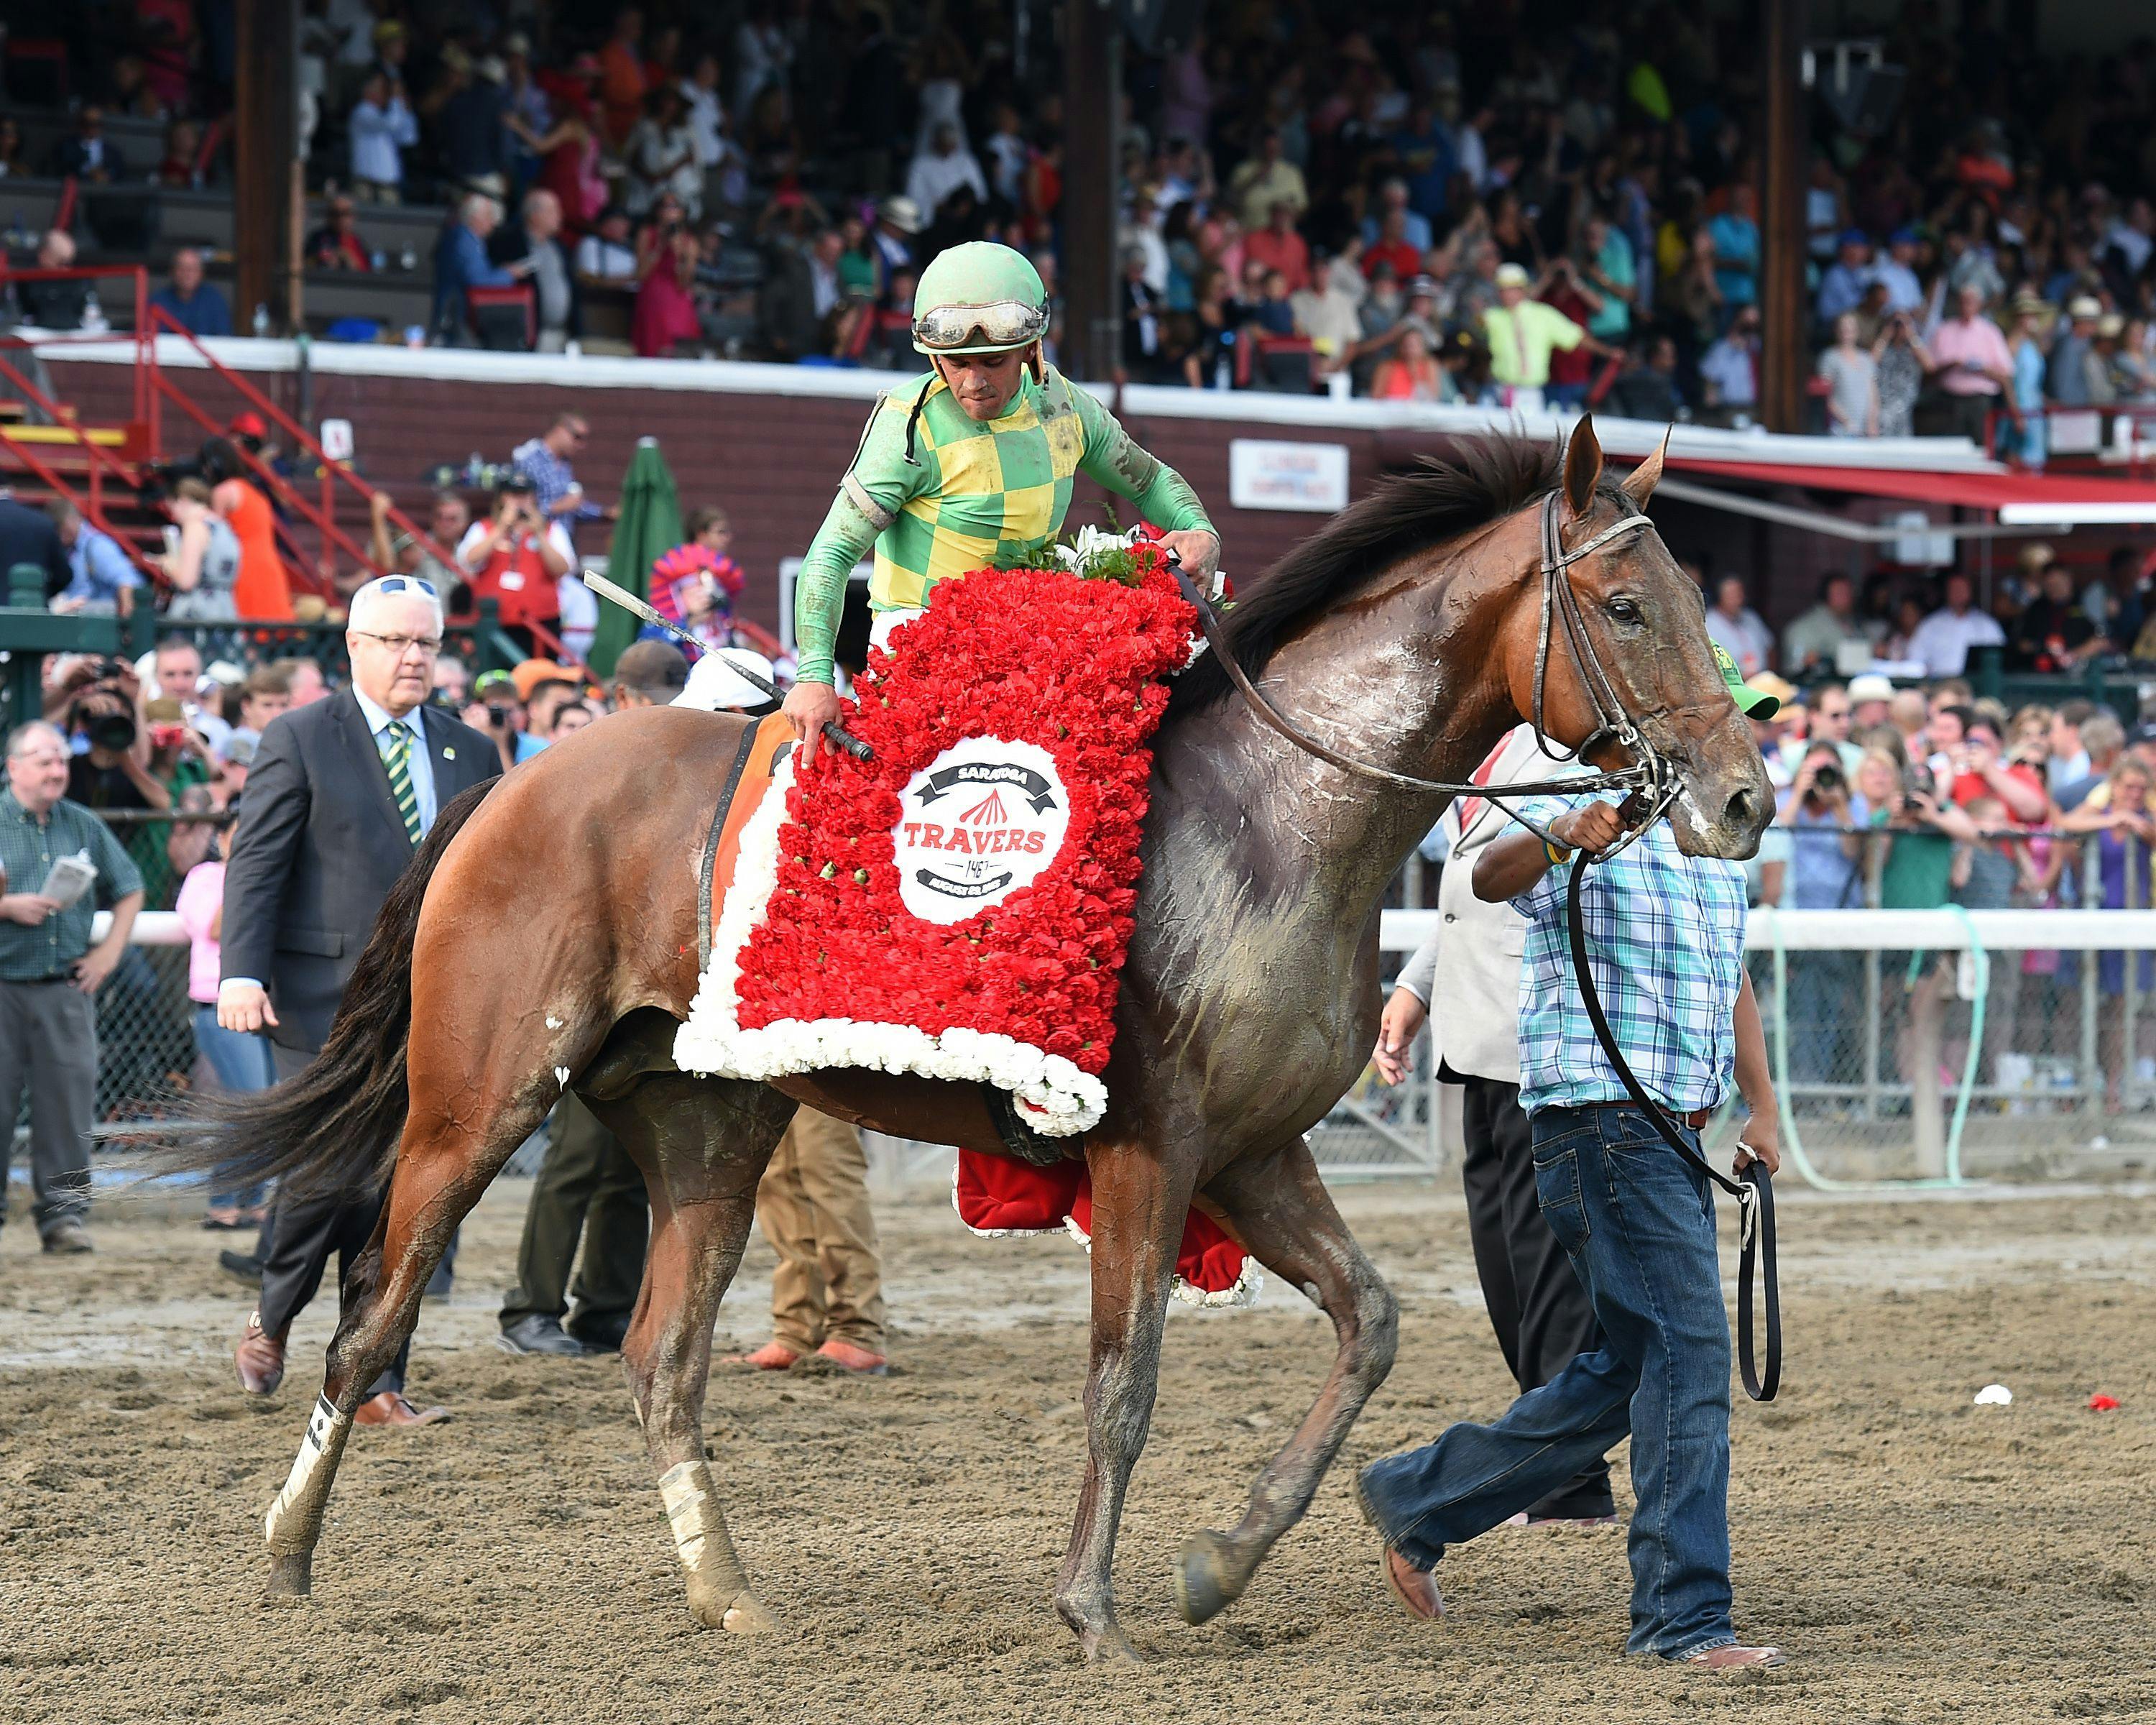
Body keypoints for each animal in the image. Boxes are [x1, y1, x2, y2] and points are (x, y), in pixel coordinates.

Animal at [177, 418, 1768, 1656]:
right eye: (1627, 605)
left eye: (1690, 595)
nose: (1745, 796)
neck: (1273, 817)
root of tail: (507, 783)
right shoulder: (1150, 1146)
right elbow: (1123, 1384)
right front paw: (1094, 1610)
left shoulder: (1252, 1151)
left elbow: (1370, 1325)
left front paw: (1220, 1561)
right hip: (477, 1103)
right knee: (371, 1320)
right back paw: (284, 1561)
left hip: (710, 1127)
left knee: (661, 1361)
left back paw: (729, 1595)